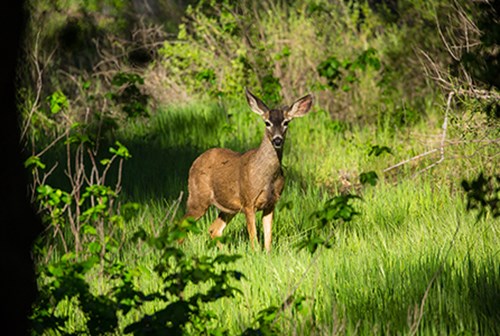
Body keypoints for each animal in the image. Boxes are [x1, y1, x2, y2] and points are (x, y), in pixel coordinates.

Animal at [182, 88, 314, 252]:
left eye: (286, 122)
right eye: (267, 123)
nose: (277, 140)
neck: (267, 179)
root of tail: (195, 162)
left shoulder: (271, 203)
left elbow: (268, 238)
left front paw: (267, 255)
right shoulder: (248, 201)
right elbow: (254, 240)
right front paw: (256, 254)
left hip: (227, 207)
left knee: (213, 229)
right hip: (198, 198)